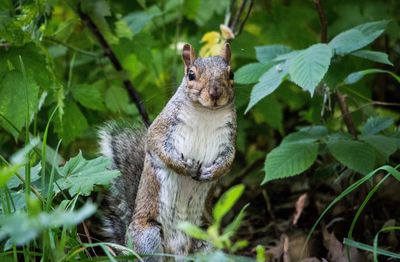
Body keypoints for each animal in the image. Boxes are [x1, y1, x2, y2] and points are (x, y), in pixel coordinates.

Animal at [99, 43, 238, 260]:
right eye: (191, 75)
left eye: (231, 74)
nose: (215, 93)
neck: (206, 113)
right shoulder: (161, 128)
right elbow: (158, 147)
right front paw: (184, 167)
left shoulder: (229, 139)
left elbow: (229, 160)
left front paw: (212, 172)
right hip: (148, 236)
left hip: (207, 238)